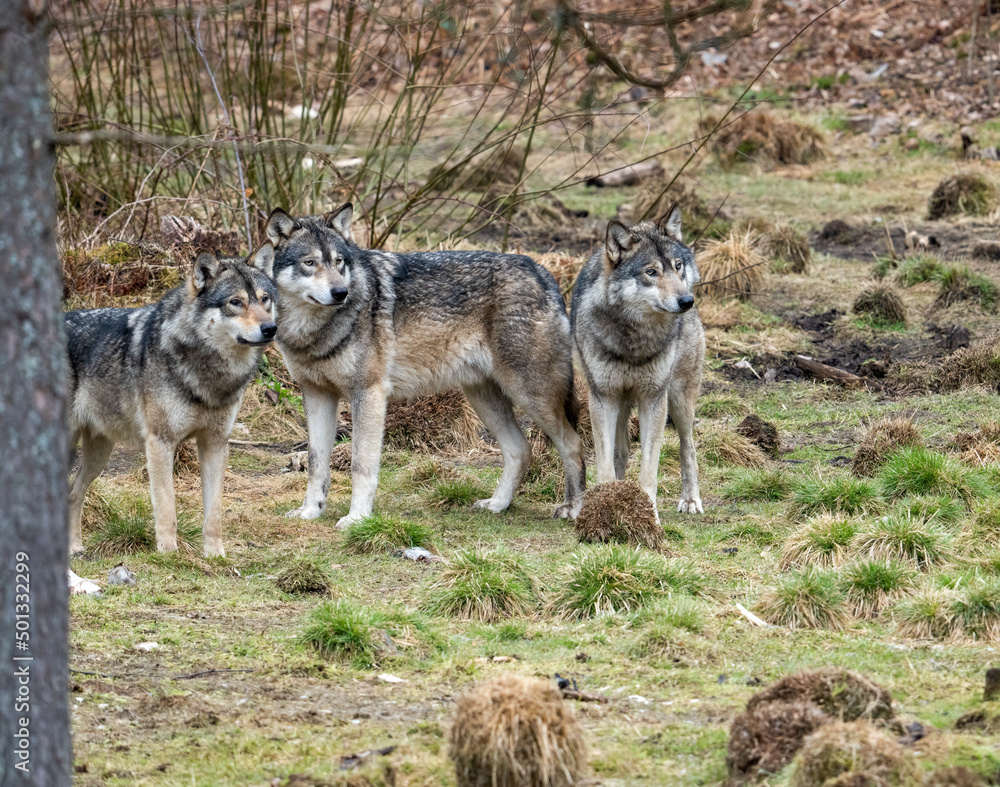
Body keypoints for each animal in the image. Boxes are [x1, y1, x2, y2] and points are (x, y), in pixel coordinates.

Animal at [65, 246, 278, 557]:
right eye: (235, 302)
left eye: (265, 300)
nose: (270, 328)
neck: (207, 373)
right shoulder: (160, 443)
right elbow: (167, 508)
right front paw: (169, 553)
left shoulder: (215, 443)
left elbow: (214, 512)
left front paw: (215, 555)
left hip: (99, 455)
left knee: (72, 493)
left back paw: (74, 548)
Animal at [265, 204, 585, 527]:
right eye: (309, 263)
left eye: (339, 262)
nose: (340, 292)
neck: (313, 331)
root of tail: (543, 272)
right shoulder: (316, 395)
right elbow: (316, 463)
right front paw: (310, 511)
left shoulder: (368, 394)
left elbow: (361, 465)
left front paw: (357, 519)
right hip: (483, 397)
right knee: (520, 449)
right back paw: (498, 504)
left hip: (530, 396)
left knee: (573, 443)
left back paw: (573, 509)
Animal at [571, 204, 705, 516]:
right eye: (651, 272)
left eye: (677, 266)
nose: (686, 301)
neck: (635, 339)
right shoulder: (603, 397)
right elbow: (605, 462)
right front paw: (606, 503)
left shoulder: (653, 398)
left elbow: (649, 467)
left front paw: (648, 510)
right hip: (621, 402)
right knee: (620, 452)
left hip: (679, 400)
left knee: (688, 447)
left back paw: (691, 499)